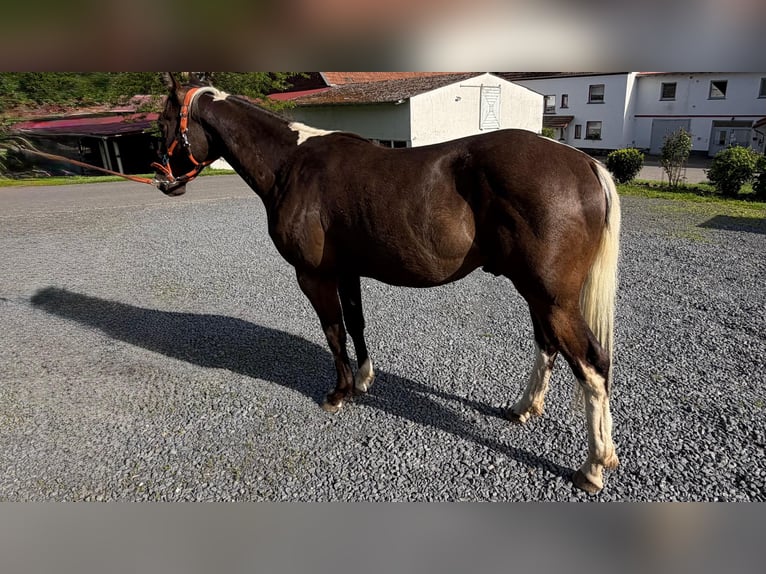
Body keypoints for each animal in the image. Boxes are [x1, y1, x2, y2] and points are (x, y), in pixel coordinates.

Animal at [153, 73, 621, 494]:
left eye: (162, 123)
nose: (162, 179)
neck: (292, 165)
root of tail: (584, 162)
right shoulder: (346, 271)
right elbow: (355, 324)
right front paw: (363, 380)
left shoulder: (314, 276)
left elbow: (333, 331)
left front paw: (339, 392)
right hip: (538, 293)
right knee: (548, 346)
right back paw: (524, 409)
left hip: (552, 298)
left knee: (592, 363)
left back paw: (594, 467)